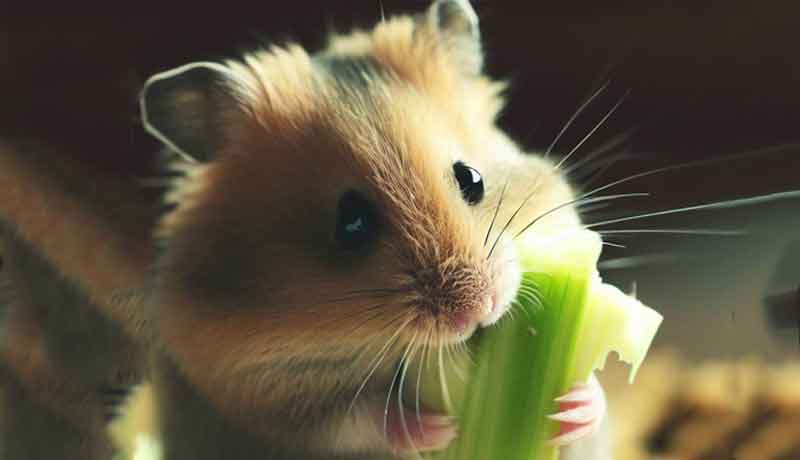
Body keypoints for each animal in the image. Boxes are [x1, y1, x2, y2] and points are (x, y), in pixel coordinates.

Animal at [0, 1, 608, 458]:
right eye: (351, 222)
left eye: (472, 177)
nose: (478, 310)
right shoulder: (250, 382)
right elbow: (353, 417)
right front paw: (438, 429)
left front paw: (572, 404)